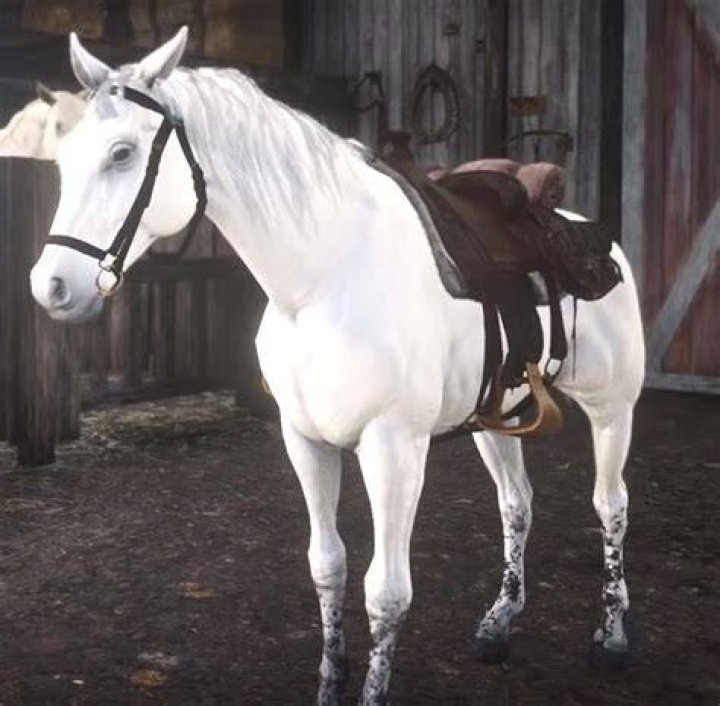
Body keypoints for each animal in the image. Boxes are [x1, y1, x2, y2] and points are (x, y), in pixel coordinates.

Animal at [25, 28, 645, 705]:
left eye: (121, 153)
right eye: (64, 155)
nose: (51, 286)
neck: (325, 277)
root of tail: (590, 234)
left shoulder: (394, 449)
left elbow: (386, 592)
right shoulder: (306, 441)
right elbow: (327, 566)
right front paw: (330, 681)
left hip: (613, 410)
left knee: (610, 504)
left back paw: (613, 637)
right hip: (497, 417)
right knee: (517, 503)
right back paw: (498, 623)